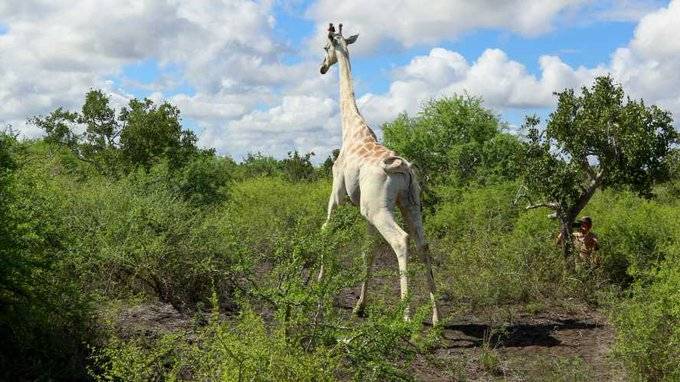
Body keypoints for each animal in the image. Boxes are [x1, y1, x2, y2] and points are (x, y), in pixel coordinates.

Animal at [318, 22, 438, 324]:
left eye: (325, 48)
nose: (322, 67)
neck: (351, 129)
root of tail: (403, 167)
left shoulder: (337, 196)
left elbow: (326, 230)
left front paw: (319, 289)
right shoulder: (364, 211)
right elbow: (367, 252)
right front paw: (359, 306)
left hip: (379, 208)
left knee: (401, 241)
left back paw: (406, 317)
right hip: (409, 203)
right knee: (423, 243)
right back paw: (435, 318)